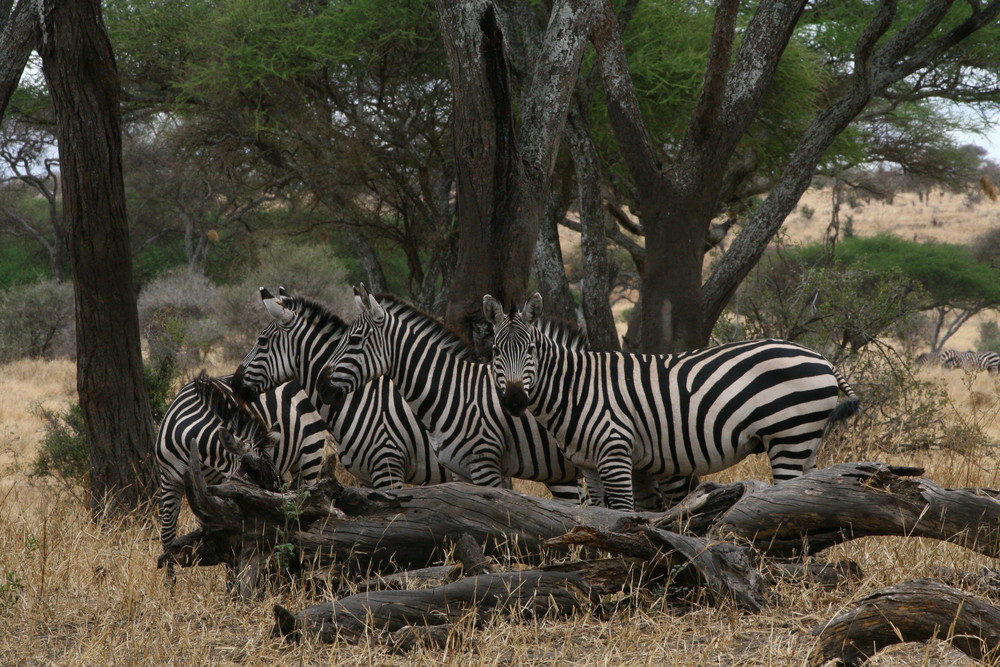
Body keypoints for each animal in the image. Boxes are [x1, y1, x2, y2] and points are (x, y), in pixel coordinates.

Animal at [155, 374, 328, 552]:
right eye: (251, 474)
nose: (273, 528)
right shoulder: (168, 480)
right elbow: (167, 533)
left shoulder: (221, 482)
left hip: (311, 452)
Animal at [482, 292, 860, 512]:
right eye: (496, 351)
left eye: (531, 350)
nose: (513, 400)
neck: (576, 388)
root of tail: (821, 358)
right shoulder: (588, 463)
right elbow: (598, 515)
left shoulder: (615, 452)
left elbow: (622, 513)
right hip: (807, 438)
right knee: (807, 494)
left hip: (789, 436)